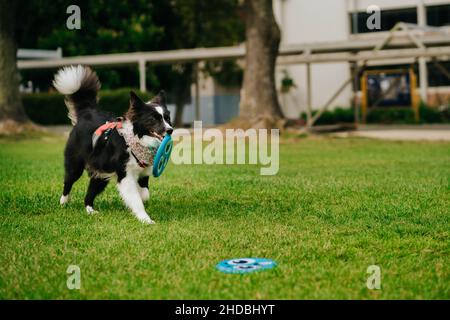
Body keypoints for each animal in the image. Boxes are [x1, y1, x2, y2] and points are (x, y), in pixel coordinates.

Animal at [53, 65, 172, 225]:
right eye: (153, 119)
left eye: (167, 118)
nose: (170, 130)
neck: (135, 140)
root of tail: (87, 112)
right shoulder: (125, 175)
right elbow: (136, 199)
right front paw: (145, 219)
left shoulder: (143, 173)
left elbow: (145, 194)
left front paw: (139, 202)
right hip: (75, 164)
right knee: (68, 182)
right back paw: (63, 202)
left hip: (100, 172)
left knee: (89, 194)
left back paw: (90, 210)